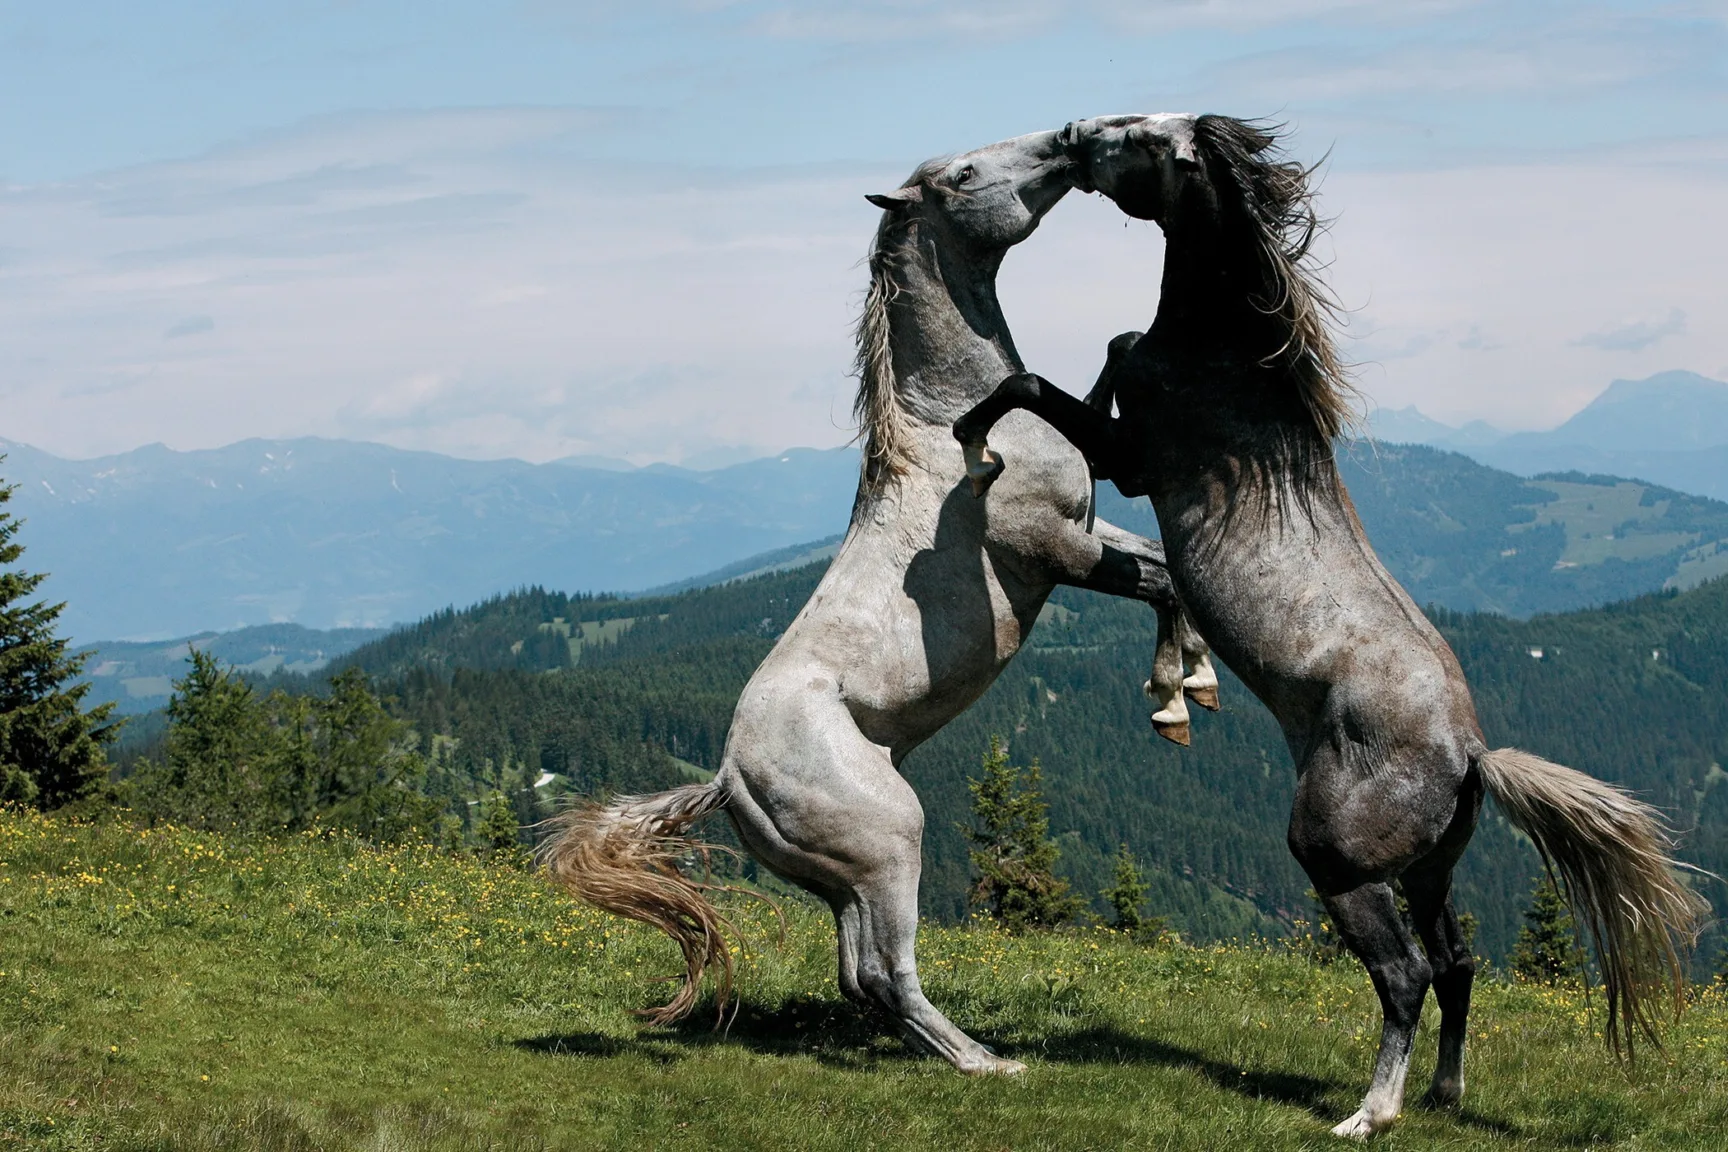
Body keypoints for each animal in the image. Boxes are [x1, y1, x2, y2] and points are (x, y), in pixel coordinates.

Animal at [539, 130, 1216, 1077]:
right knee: (891, 971)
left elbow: (1164, 569)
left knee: (859, 974)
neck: (955, 432)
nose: (1069, 143)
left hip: (844, 881)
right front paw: (1176, 697)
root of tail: (727, 778)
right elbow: (1160, 581)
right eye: (965, 175)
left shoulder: (1091, 534)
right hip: (894, 844)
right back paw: (984, 1063)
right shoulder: (1062, 554)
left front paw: (1192, 683)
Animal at [953, 112, 1707, 1139]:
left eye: (1142, 139)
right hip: (1428, 872)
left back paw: (1369, 1115)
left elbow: (1033, 384)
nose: (1073, 134)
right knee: (1458, 964)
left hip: (1340, 865)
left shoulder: (1131, 458)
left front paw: (969, 439)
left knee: (1406, 975)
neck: (1228, 367)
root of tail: (1471, 755)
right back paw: (1441, 1094)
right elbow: (1107, 346)